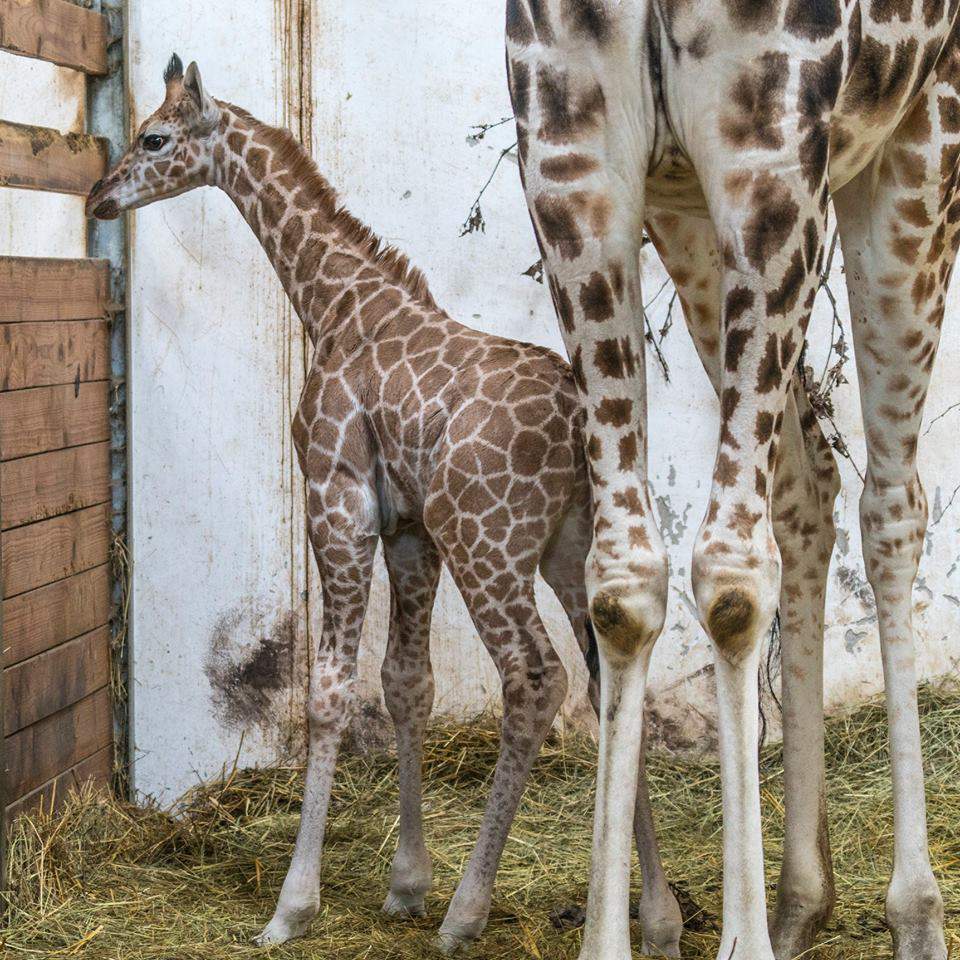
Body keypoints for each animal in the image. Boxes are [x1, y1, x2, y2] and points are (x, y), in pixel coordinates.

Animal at [84, 56, 684, 956]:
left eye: (154, 137)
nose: (98, 196)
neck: (330, 303)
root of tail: (584, 429)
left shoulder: (338, 499)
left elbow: (331, 690)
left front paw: (293, 906)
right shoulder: (409, 530)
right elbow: (407, 683)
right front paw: (405, 883)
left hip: (488, 542)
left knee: (535, 680)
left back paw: (468, 913)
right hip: (567, 546)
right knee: (609, 675)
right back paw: (657, 916)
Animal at [506, 1, 956, 960]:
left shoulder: (773, 159)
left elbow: (733, 581)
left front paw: (739, 941)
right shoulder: (571, 160)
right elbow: (622, 584)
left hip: (916, 144)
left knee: (893, 503)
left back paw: (914, 913)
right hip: (698, 219)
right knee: (811, 485)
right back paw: (803, 900)